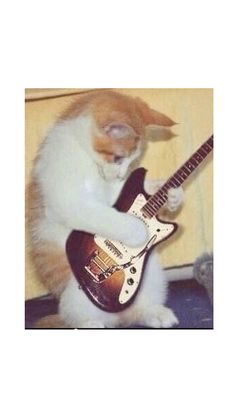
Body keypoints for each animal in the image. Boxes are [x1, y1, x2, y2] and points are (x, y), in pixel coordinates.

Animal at [27, 90, 183, 330]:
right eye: (118, 158)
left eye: (132, 161)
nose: (121, 175)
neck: (83, 152)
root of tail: (116, 316)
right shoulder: (66, 198)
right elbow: (103, 215)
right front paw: (138, 229)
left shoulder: (111, 193)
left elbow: (120, 198)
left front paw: (169, 194)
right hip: (74, 293)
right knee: (75, 316)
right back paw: (89, 323)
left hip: (151, 272)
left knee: (136, 310)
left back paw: (153, 312)